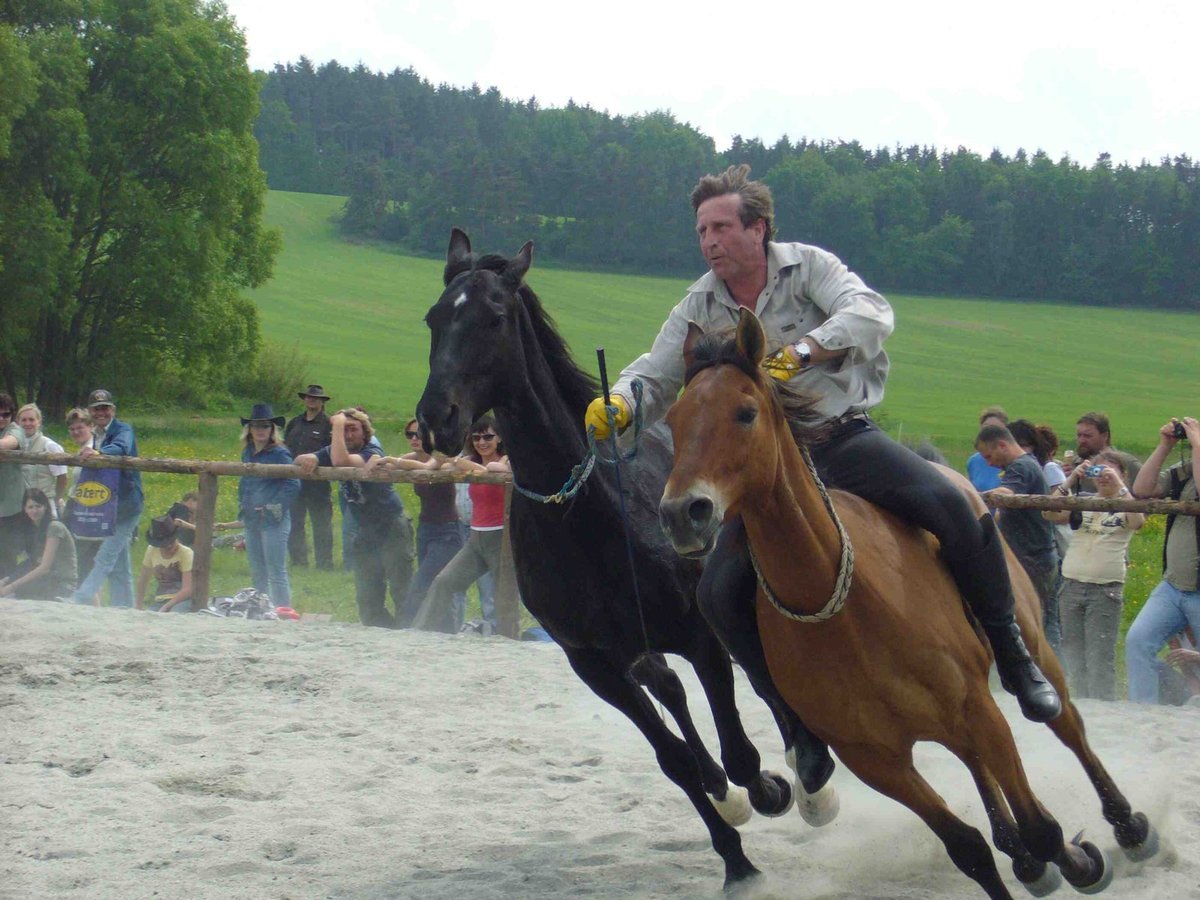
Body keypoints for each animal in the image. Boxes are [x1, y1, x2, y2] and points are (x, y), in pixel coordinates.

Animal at [412, 229, 816, 892]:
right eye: (435, 317)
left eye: (494, 317)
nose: (437, 419)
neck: (587, 517)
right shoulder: (595, 664)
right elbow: (675, 758)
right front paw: (734, 856)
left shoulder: (700, 635)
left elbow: (739, 749)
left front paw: (769, 791)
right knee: (674, 694)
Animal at [662, 309, 1156, 897]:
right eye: (672, 419)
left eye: (745, 412)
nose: (683, 513)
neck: (843, 610)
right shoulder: (879, 762)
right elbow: (970, 848)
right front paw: (1040, 859)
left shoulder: (979, 710)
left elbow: (1041, 827)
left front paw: (1080, 859)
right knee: (982, 777)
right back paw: (1035, 862)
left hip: (1034, 652)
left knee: (1068, 726)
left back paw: (1128, 827)